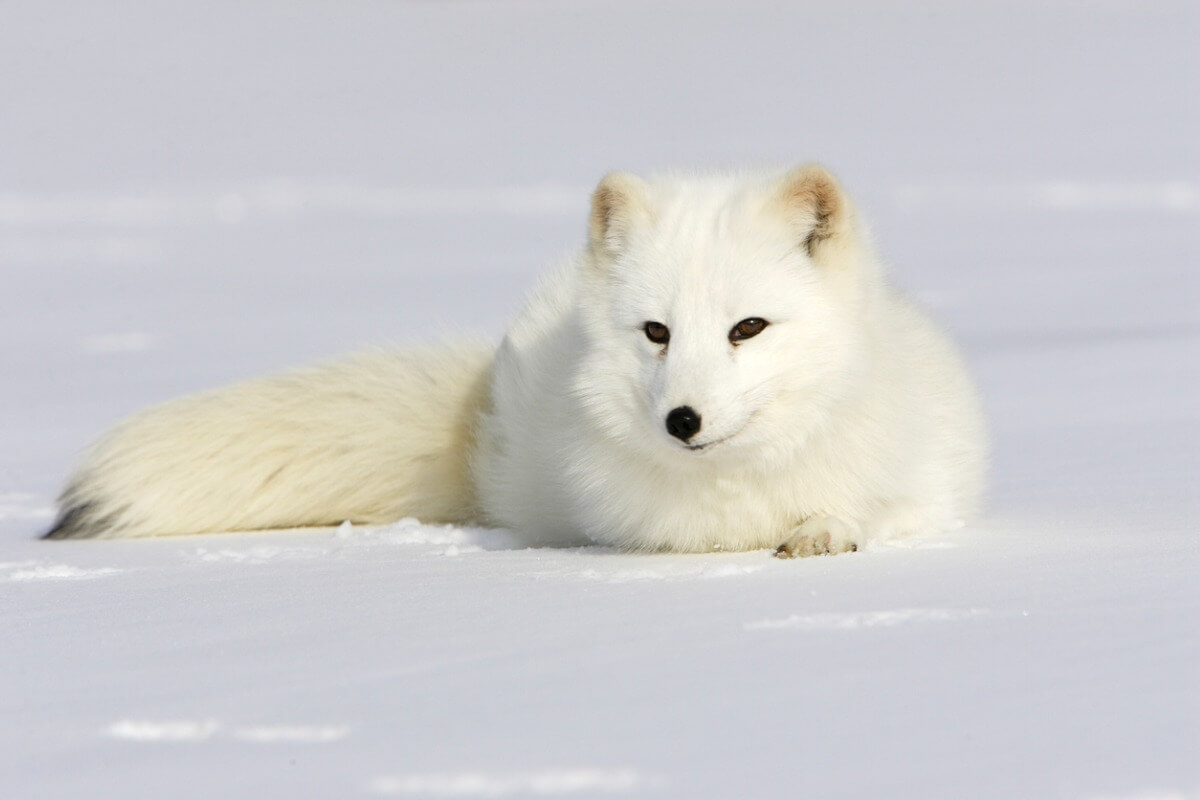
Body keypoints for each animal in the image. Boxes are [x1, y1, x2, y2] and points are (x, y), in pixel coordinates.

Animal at [44, 164, 986, 557]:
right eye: (656, 333)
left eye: (748, 328)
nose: (681, 421)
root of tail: (486, 409)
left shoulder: (928, 487)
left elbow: (876, 510)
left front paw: (825, 529)